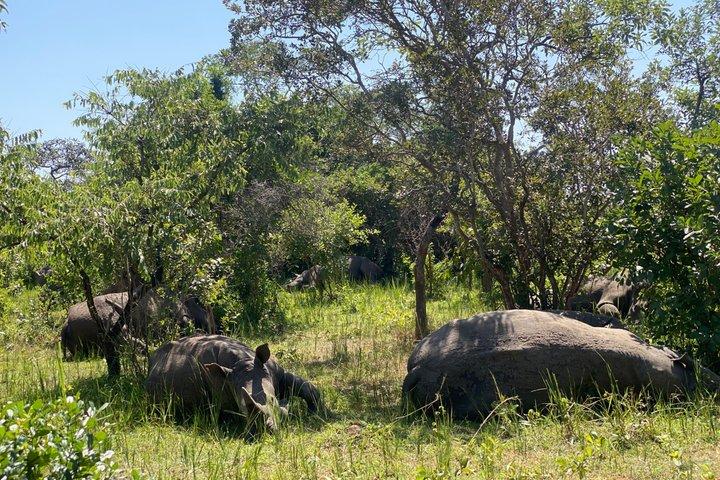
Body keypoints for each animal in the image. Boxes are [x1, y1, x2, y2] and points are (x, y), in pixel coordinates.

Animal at [145, 334, 323, 432]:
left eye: (273, 400)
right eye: (243, 408)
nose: (266, 429)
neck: (243, 363)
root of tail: (154, 357)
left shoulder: (275, 372)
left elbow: (305, 387)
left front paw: (316, 412)